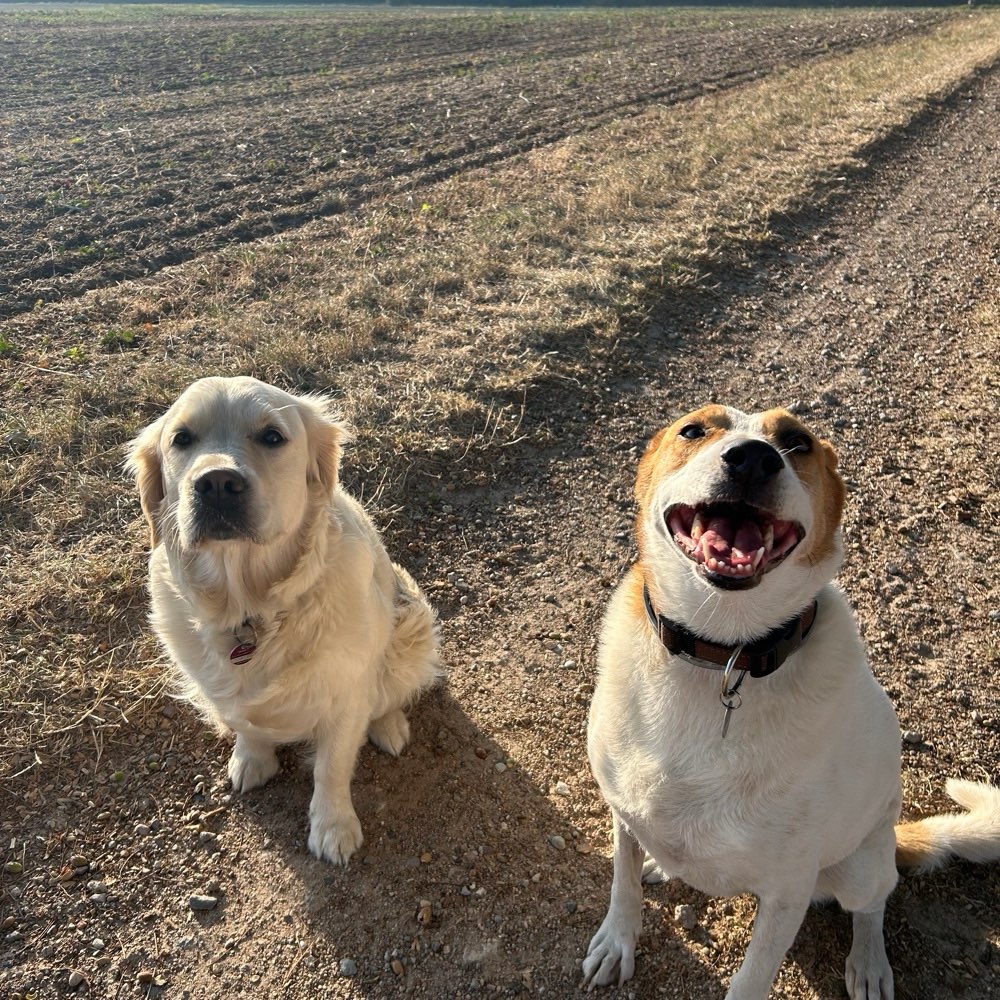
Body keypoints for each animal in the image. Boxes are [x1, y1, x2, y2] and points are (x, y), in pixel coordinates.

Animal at [126, 378, 438, 864]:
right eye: (182, 438)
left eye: (272, 436)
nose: (217, 482)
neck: (249, 607)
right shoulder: (225, 689)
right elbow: (245, 723)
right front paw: (252, 758)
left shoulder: (346, 692)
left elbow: (331, 768)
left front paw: (333, 826)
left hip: (411, 626)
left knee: (388, 693)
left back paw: (389, 727)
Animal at [584, 404, 1000, 1000]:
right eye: (694, 430)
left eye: (797, 442)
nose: (752, 459)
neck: (725, 657)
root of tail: (892, 839)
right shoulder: (622, 813)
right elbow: (622, 882)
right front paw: (617, 941)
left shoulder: (788, 888)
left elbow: (752, 978)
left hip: (859, 867)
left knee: (873, 904)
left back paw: (869, 963)